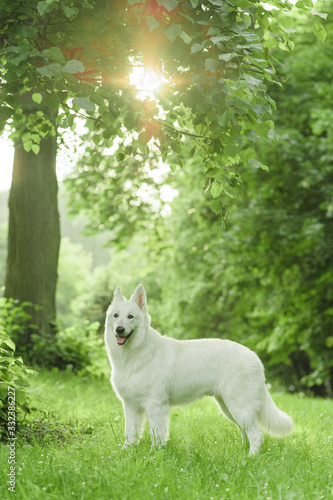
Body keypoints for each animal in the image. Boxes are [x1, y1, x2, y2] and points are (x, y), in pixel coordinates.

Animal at [104, 284, 290, 456]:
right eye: (116, 315)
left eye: (131, 317)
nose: (119, 329)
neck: (135, 353)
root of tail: (255, 357)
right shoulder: (131, 406)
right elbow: (130, 434)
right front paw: (127, 453)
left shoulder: (155, 405)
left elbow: (156, 435)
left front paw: (155, 454)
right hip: (229, 408)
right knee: (246, 432)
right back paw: (242, 451)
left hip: (239, 406)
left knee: (257, 435)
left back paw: (250, 458)